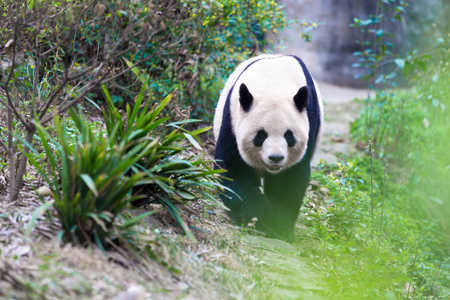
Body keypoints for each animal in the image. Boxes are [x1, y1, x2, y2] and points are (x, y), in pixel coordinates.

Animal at [213, 54, 322, 241]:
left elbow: (289, 178)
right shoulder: (233, 121)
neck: (274, 82)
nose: (276, 158)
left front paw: (279, 226)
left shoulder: (310, 117)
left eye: (289, 135)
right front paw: (260, 216)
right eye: (261, 135)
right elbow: (232, 168)